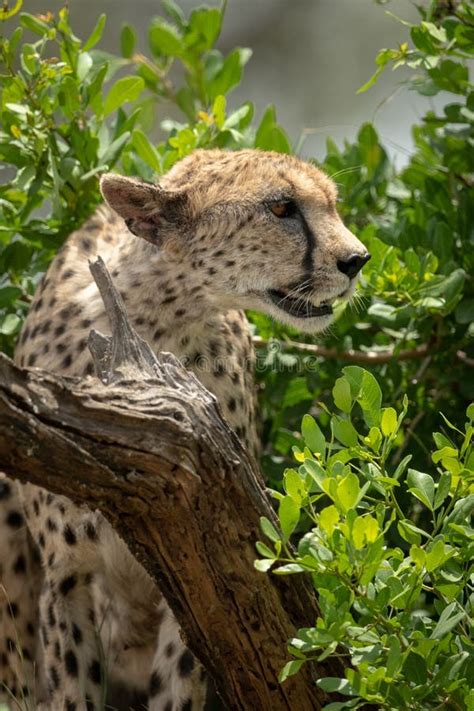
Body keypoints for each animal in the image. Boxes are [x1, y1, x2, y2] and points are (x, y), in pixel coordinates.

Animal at [0, 147, 370, 708]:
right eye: (281, 207)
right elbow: (69, 690)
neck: (155, 318)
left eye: (331, 203)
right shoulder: (68, 575)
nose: (357, 260)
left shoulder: (197, 562)